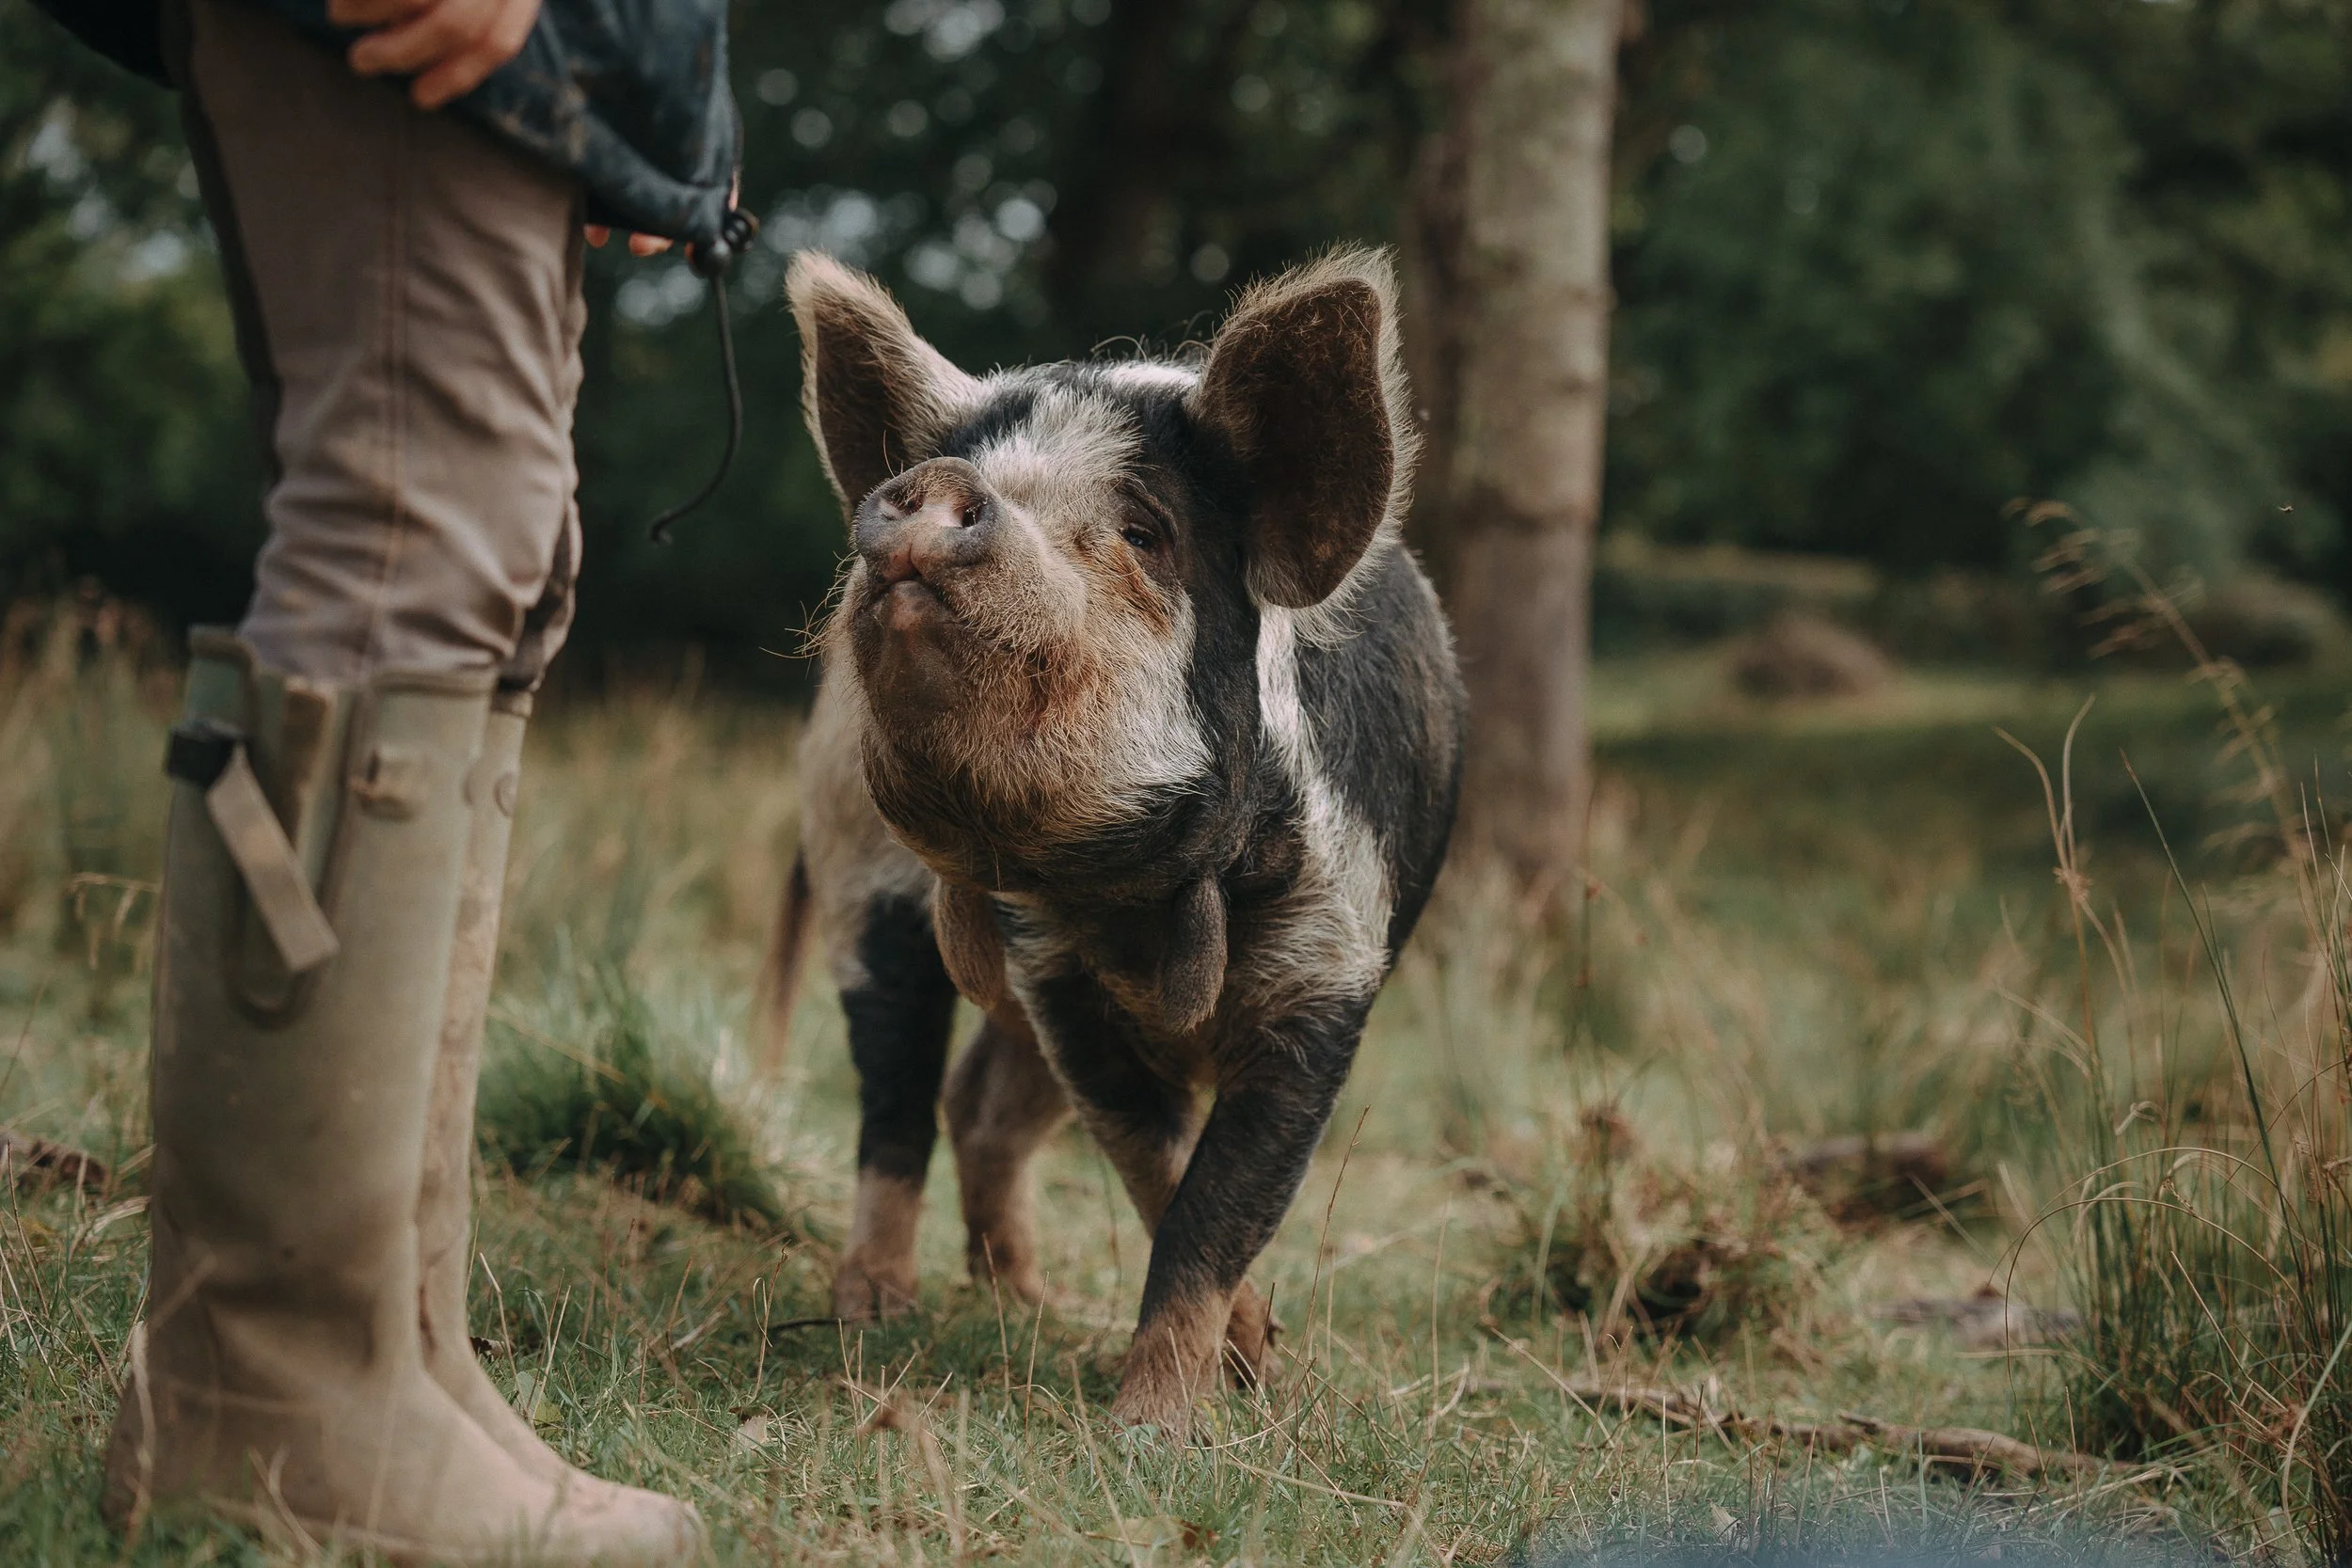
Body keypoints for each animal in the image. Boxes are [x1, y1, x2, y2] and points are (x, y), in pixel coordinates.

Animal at [771, 247, 1464, 1429]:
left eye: (1144, 531)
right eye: (976, 471)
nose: (940, 488)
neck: (1137, 897)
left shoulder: (1333, 969)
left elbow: (1222, 1198)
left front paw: (1189, 1409)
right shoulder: (1059, 984)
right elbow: (1162, 1165)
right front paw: (1221, 1380)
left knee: (979, 1105)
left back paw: (1026, 1298)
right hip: (858, 871)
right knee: (897, 1096)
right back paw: (875, 1313)